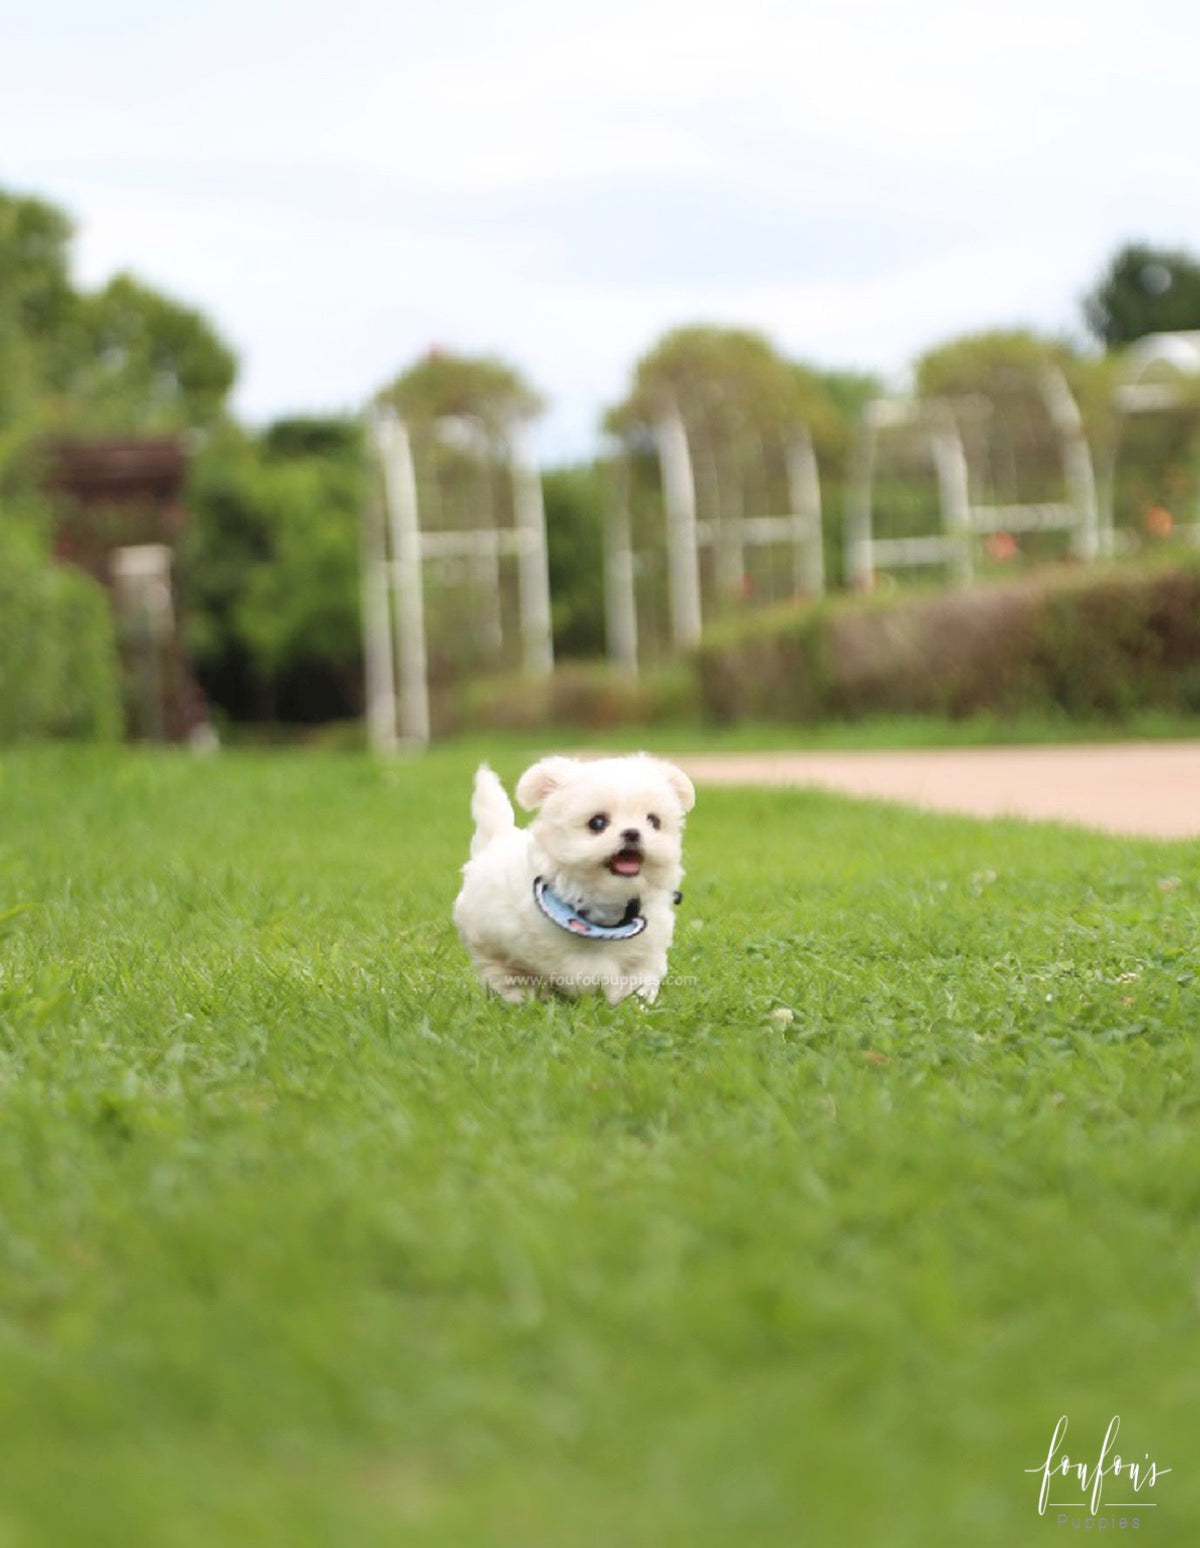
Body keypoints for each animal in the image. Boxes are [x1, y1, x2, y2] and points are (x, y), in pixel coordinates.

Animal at [452, 752, 693, 1003]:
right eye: (597, 822)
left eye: (653, 821)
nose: (632, 833)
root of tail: (496, 840)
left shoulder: (647, 950)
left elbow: (639, 982)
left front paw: (633, 1005)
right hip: (487, 943)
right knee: (501, 972)